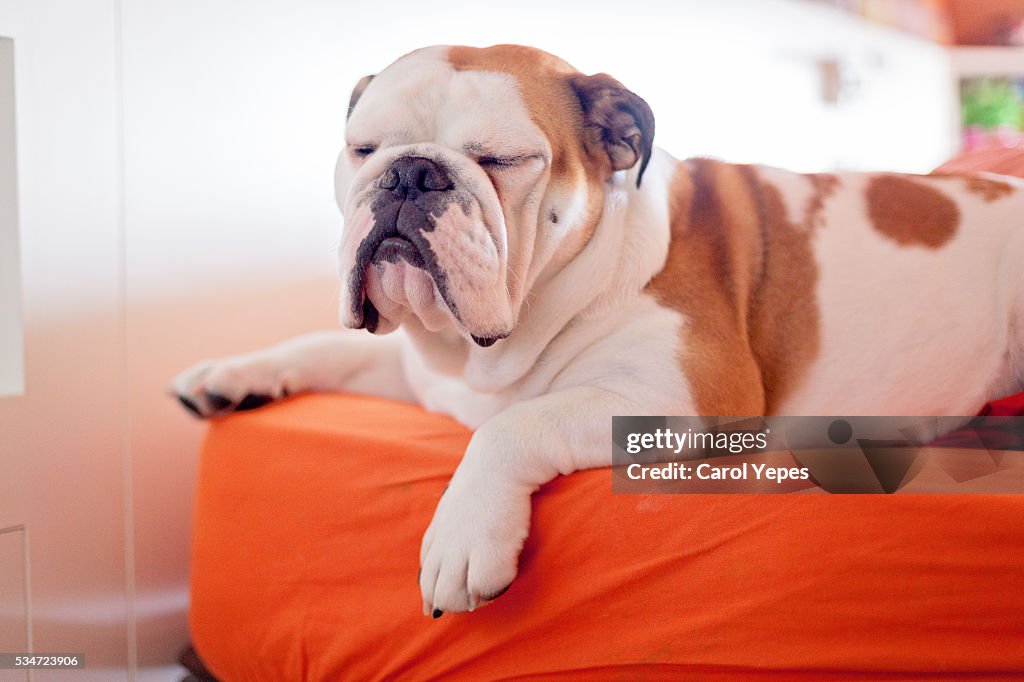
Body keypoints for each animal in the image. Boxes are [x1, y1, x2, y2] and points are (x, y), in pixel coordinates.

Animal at [176, 42, 1024, 614]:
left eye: (502, 159)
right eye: (363, 149)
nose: (412, 172)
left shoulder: (686, 399)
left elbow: (513, 426)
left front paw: (461, 536)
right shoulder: (422, 369)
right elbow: (328, 347)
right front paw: (231, 374)